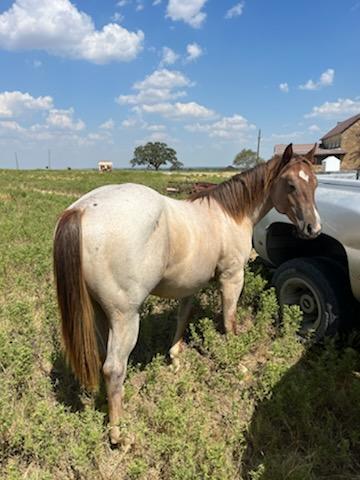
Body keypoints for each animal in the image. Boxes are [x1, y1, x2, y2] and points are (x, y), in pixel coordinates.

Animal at [53, 142, 320, 442]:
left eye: (315, 183)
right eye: (290, 184)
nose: (313, 228)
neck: (229, 215)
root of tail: (82, 210)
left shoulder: (190, 284)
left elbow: (183, 317)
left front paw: (176, 358)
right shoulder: (232, 279)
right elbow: (229, 323)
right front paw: (238, 365)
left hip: (100, 312)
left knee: (100, 357)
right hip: (125, 318)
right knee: (113, 368)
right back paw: (119, 435)